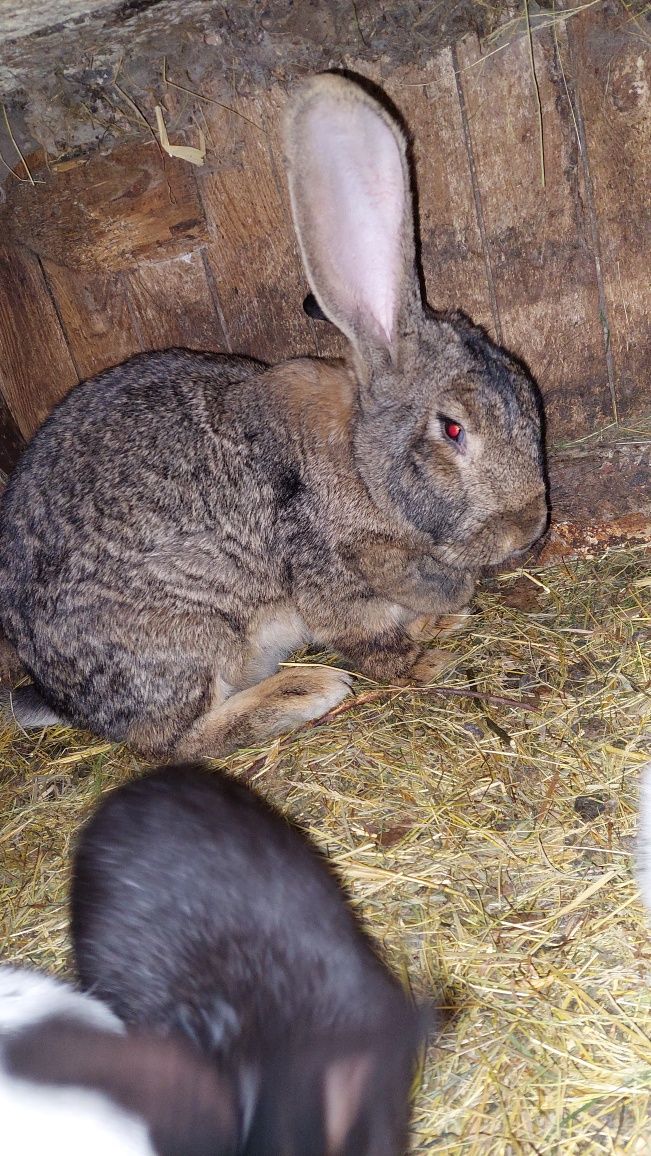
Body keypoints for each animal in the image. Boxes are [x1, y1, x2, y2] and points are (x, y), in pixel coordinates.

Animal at [0, 72, 550, 758]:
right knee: (181, 741)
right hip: (192, 638)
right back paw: (306, 690)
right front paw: (423, 660)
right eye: (453, 430)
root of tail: (61, 698)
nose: (529, 526)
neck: (361, 465)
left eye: (529, 399)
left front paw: (442, 618)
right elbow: (369, 639)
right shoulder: (330, 577)